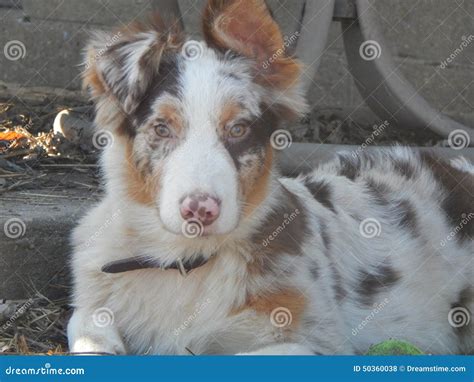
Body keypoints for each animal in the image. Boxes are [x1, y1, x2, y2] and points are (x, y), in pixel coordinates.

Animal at [68, 0, 472, 356]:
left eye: (238, 129)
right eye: (162, 128)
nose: (200, 211)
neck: (182, 260)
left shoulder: (317, 341)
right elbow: (83, 320)